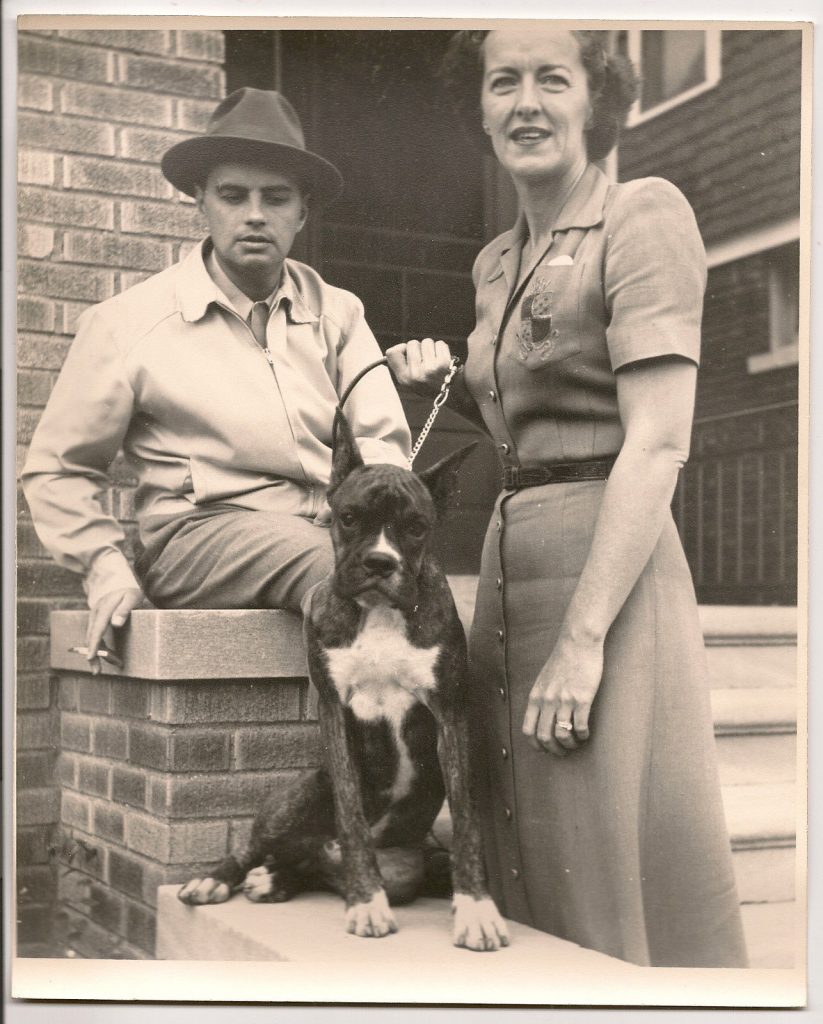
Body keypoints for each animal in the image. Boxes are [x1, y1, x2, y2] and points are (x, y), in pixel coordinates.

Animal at [178, 411, 507, 954]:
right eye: (349, 517)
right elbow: (351, 815)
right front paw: (366, 901)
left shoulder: (449, 717)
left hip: (404, 867)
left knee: (313, 865)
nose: (380, 562)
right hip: (296, 799)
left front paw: (476, 908)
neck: (379, 613)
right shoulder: (336, 714)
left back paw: (277, 880)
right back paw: (220, 878)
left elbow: (466, 820)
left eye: (416, 527)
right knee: (258, 845)